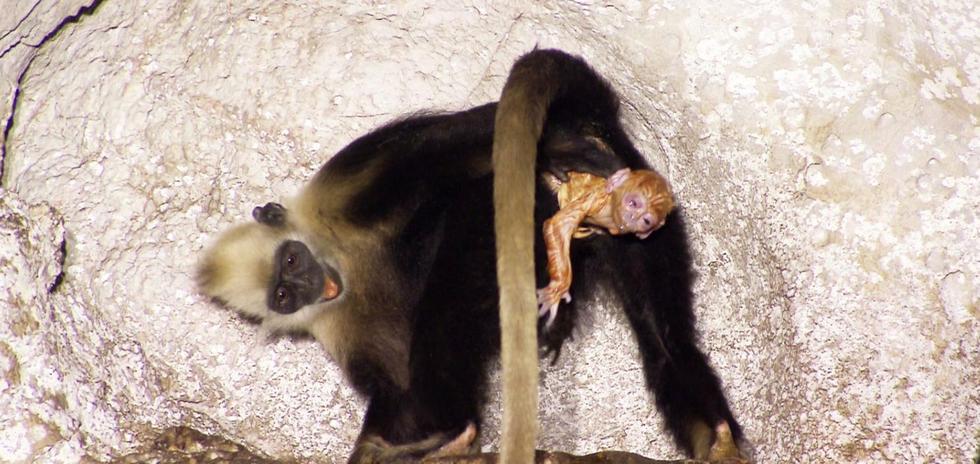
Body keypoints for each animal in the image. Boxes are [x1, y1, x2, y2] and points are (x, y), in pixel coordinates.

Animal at [540, 168, 676, 326]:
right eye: (633, 203)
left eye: (646, 221)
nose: (632, 218)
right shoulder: (596, 198)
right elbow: (558, 225)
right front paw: (558, 289)